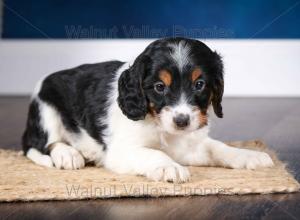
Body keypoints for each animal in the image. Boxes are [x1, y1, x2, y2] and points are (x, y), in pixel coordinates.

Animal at [22, 37, 274, 182]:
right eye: (159, 87)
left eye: (199, 84)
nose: (182, 121)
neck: (158, 124)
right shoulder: (121, 151)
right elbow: (154, 153)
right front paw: (169, 167)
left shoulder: (191, 144)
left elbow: (218, 148)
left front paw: (249, 155)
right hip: (45, 109)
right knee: (42, 144)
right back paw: (69, 154)